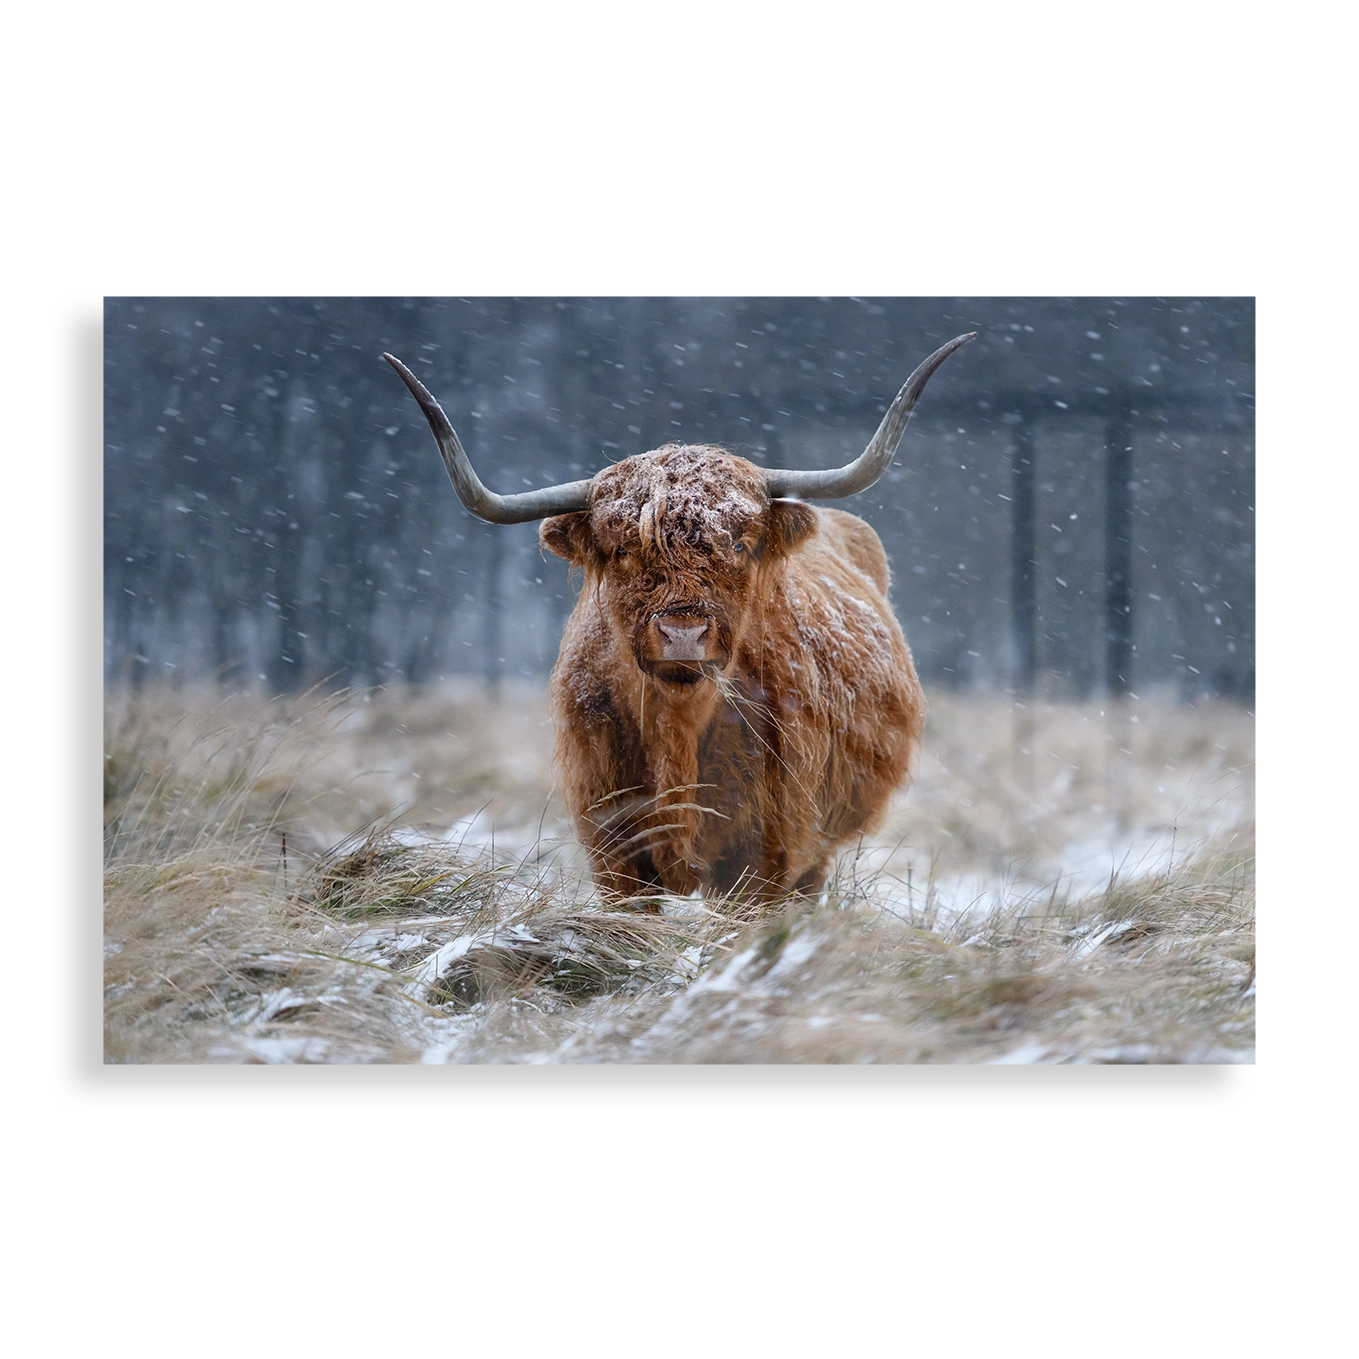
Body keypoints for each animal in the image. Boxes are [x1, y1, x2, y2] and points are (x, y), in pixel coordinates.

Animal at [384, 333, 974, 906]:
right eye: (623, 550)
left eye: (739, 544)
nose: (683, 634)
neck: (677, 729)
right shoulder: (613, 847)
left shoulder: (766, 853)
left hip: (817, 849)